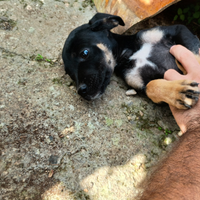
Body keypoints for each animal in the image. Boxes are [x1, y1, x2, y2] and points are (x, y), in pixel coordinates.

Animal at [62, 12, 200, 109]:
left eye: (84, 53)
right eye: (69, 73)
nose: (81, 91)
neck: (129, 53)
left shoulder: (180, 29)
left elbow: (194, 55)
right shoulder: (138, 81)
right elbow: (152, 86)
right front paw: (177, 92)